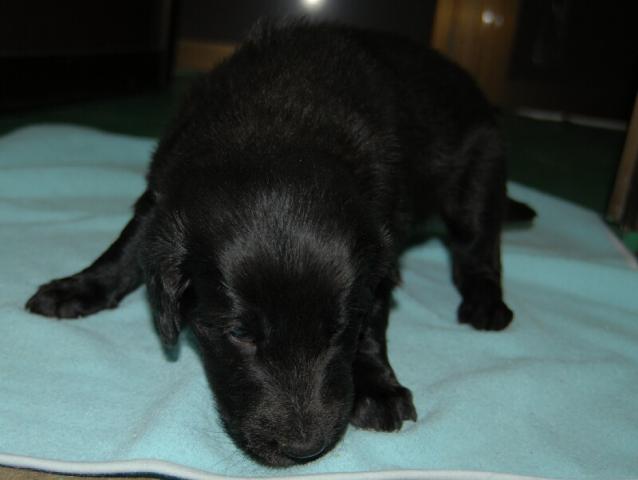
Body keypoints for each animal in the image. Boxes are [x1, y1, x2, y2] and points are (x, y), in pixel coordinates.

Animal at [26, 21, 535, 466]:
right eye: (239, 335)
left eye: (337, 331)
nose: (304, 451)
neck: (274, 129)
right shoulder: (162, 193)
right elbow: (127, 247)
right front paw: (77, 287)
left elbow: (374, 320)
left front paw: (377, 387)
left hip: (479, 169)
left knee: (477, 249)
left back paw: (486, 304)